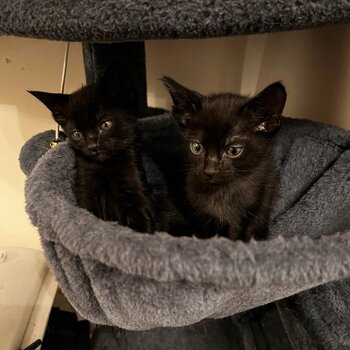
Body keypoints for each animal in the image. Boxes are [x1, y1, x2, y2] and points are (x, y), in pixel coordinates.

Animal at [29, 67, 155, 234]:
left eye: (105, 125)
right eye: (77, 134)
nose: (93, 146)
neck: (106, 166)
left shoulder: (135, 185)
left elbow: (141, 222)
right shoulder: (85, 188)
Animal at [163, 77, 286, 241]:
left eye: (233, 151)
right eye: (197, 147)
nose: (209, 171)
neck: (221, 193)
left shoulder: (248, 211)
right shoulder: (200, 213)